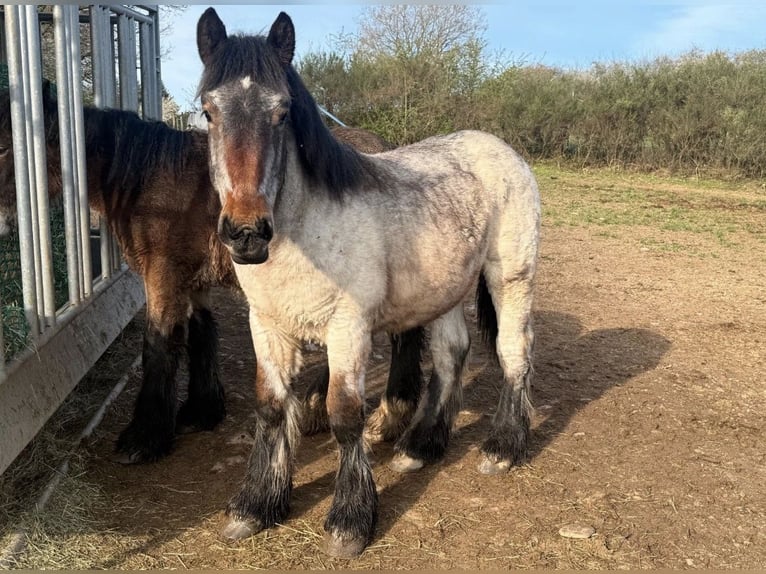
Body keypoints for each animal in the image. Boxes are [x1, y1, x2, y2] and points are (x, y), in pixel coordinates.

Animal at [0, 83, 424, 464]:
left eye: (6, 148)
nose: (4, 224)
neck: (149, 180)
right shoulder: (191, 282)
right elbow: (201, 333)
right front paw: (201, 410)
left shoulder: (162, 276)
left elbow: (158, 344)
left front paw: (143, 438)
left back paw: (383, 418)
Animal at [195, 8, 541, 558]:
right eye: (209, 111)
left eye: (282, 112)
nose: (247, 232)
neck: (306, 229)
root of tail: (500, 149)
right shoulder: (267, 326)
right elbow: (271, 407)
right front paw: (255, 506)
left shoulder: (348, 329)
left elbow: (343, 416)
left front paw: (350, 521)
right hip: (444, 290)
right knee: (451, 355)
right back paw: (420, 447)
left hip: (511, 278)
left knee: (513, 352)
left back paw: (503, 449)